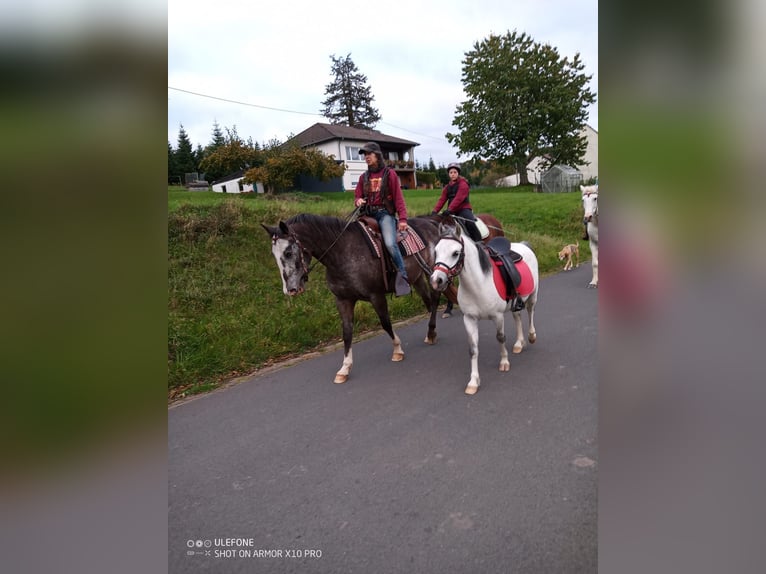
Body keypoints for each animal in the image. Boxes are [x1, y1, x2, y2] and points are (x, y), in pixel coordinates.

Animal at [261, 213, 443, 384]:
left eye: (288, 252)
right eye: (274, 255)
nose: (290, 290)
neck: (342, 252)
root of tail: (432, 223)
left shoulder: (376, 296)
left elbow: (385, 323)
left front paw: (397, 350)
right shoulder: (343, 300)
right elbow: (347, 332)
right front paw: (344, 369)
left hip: (432, 273)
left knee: (435, 299)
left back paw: (432, 331)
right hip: (417, 278)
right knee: (428, 302)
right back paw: (431, 333)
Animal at [429, 220, 539, 395]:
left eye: (455, 253)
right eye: (436, 251)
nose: (436, 280)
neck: (478, 283)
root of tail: (523, 245)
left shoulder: (498, 316)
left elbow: (500, 338)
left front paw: (504, 362)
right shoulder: (469, 319)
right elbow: (473, 350)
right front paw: (473, 382)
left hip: (533, 295)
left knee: (530, 312)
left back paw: (531, 336)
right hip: (516, 302)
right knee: (517, 317)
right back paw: (519, 343)